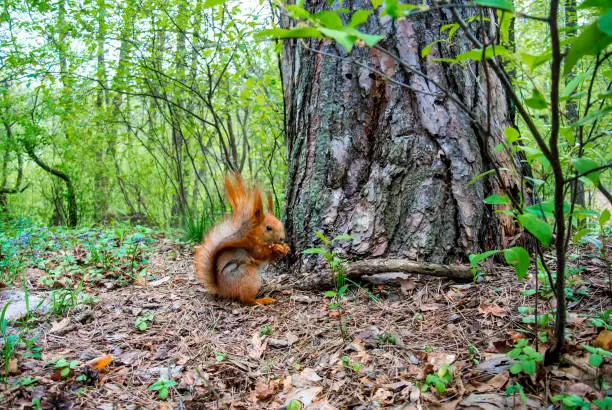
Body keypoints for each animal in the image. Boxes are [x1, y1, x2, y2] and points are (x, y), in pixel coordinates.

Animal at [196, 173, 292, 304]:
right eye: (268, 228)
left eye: (281, 224)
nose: (282, 238)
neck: (256, 235)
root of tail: (223, 290)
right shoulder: (253, 246)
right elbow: (260, 254)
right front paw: (276, 247)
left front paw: (285, 247)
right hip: (249, 277)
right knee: (247, 300)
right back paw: (262, 300)